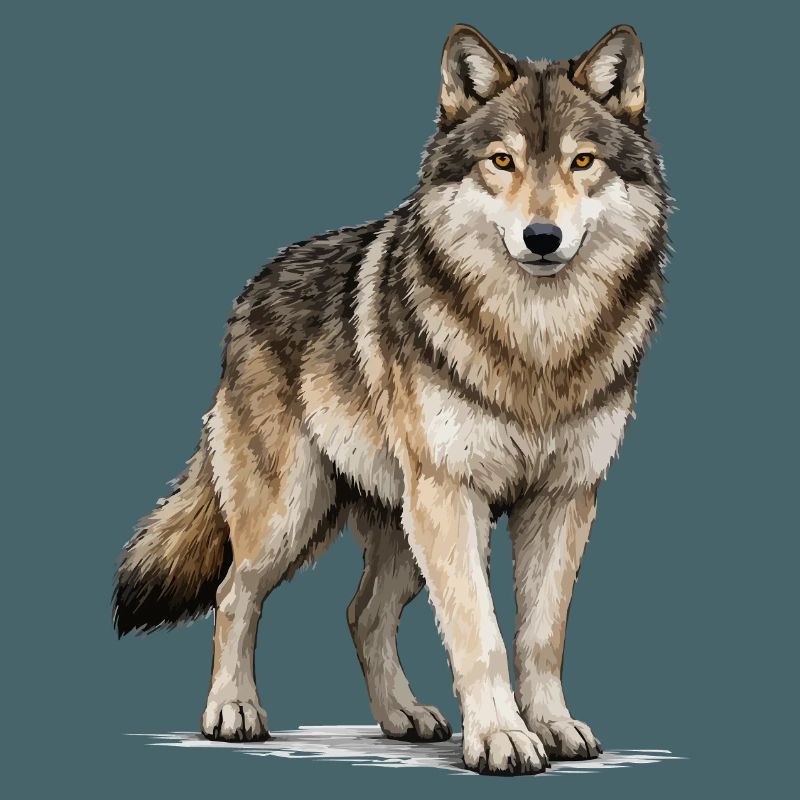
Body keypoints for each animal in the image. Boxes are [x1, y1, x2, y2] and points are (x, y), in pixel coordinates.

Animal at [113, 23, 668, 775]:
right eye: (502, 161)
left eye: (582, 161)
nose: (542, 238)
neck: (536, 344)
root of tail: (251, 289)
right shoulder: (452, 494)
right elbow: (481, 635)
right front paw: (501, 737)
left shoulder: (565, 498)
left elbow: (539, 636)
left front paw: (551, 726)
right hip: (296, 513)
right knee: (234, 593)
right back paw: (232, 712)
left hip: (401, 527)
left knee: (361, 613)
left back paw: (402, 716)